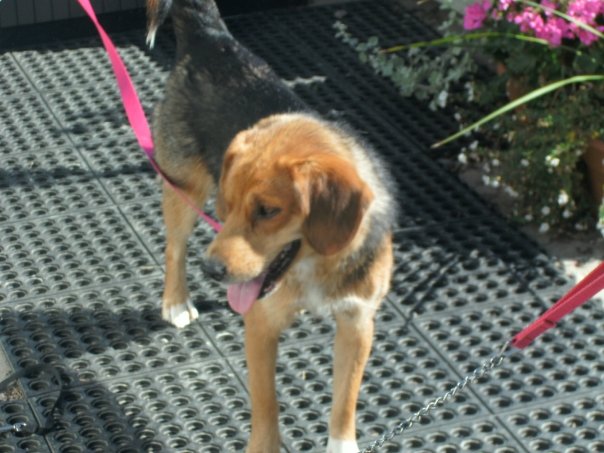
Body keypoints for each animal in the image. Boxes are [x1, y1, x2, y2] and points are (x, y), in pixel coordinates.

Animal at [147, 1, 396, 450]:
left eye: (267, 210)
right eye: (229, 204)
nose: (213, 271)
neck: (315, 265)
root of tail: (212, 38)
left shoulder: (357, 323)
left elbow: (343, 406)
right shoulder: (261, 323)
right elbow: (267, 407)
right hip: (184, 186)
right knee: (174, 248)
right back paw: (175, 301)